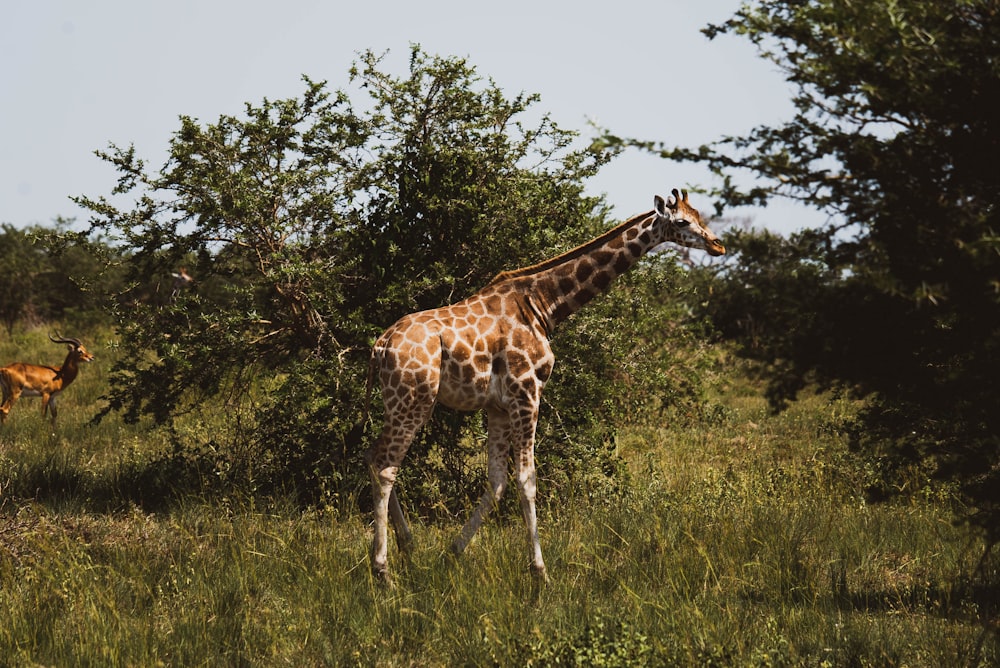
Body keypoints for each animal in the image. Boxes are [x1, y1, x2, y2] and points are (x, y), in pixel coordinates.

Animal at [364, 188, 724, 584]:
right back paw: (383, 570)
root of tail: (380, 345)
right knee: (385, 464)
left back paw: (408, 546)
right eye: (682, 221)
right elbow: (527, 478)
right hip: (414, 398)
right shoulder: (527, 392)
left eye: (700, 215)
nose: (718, 245)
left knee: (373, 455)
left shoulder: (497, 406)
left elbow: (497, 481)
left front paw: (453, 551)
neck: (543, 305)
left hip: (396, 400)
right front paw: (540, 572)